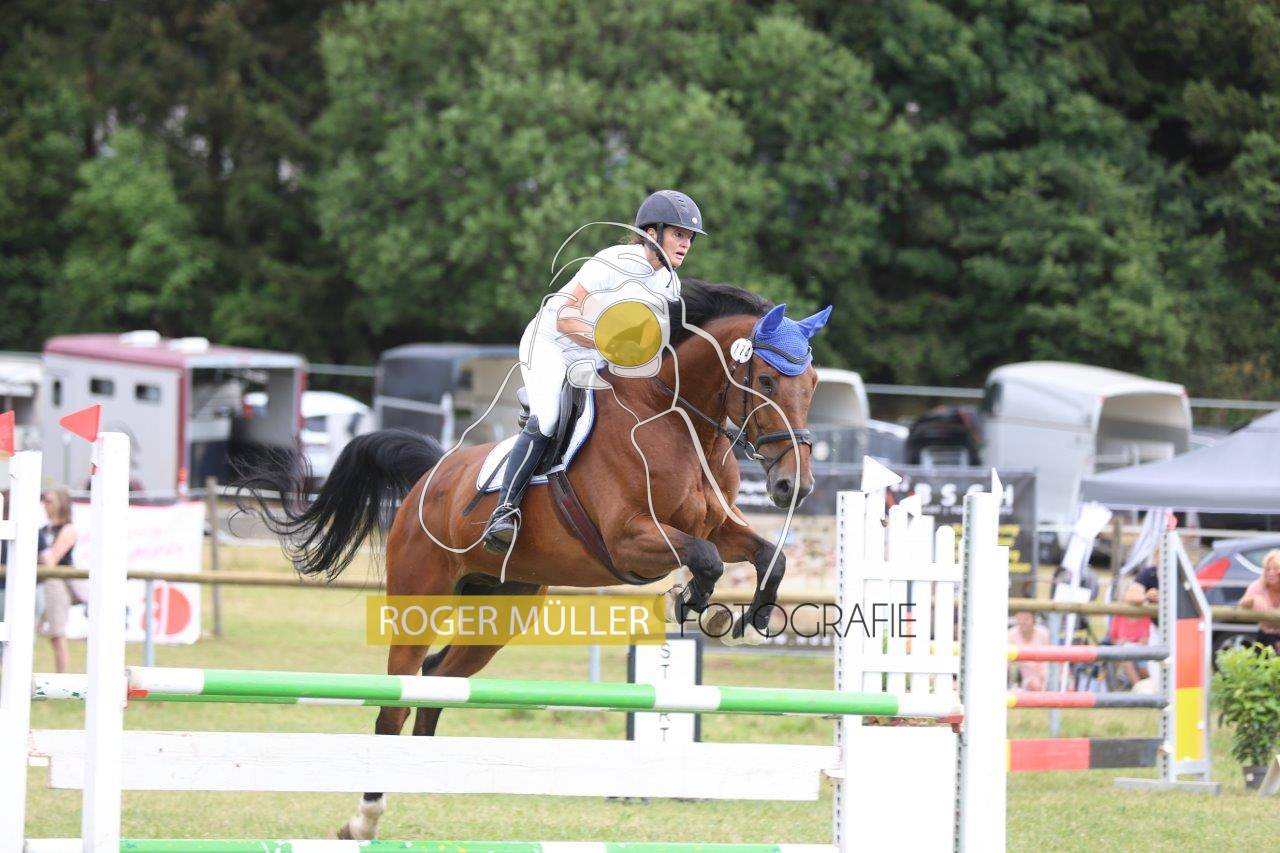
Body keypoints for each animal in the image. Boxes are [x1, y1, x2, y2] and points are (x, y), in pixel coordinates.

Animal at [240, 280, 827, 840]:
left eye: (814, 384)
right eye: (767, 382)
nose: (793, 486)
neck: (681, 423)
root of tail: (432, 476)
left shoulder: (718, 527)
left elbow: (767, 556)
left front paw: (752, 620)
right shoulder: (630, 540)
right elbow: (706, 560)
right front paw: (690, 601)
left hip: (500, 611)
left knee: (437, 680)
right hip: (420, 599)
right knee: (397, 701)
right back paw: (364, 819)